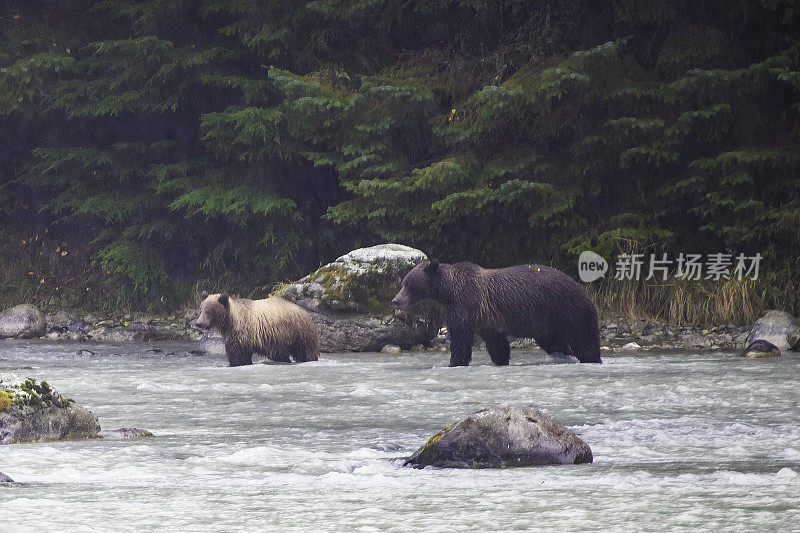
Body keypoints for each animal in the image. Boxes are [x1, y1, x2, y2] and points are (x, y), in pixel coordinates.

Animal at [390, 260, 604, 364]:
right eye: (403, 283)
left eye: (409, 285)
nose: (395, 300)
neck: (449, 291)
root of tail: (583, 290)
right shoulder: (488, 319)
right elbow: (497, 343)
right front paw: (501, 360)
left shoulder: (466, 304)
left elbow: (460, 337)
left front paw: (455, 362)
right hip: (547, 324)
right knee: (555, 343)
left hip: (569, 310)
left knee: (584, 340)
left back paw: (591, 358)